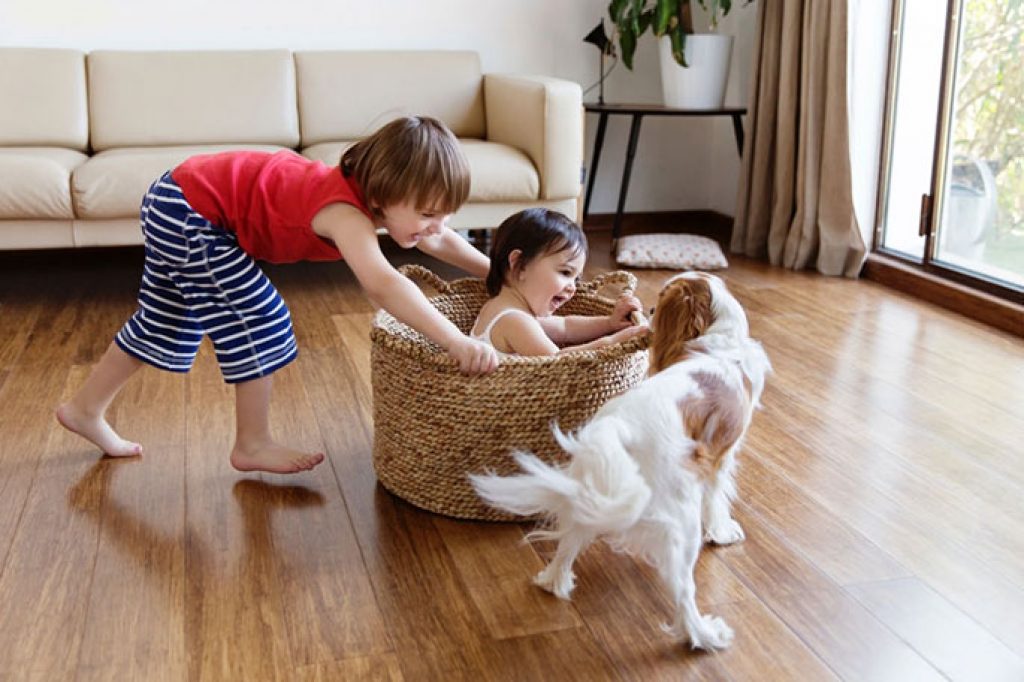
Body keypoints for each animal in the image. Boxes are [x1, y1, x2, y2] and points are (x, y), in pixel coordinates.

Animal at [471, 270, 770, 647]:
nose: (650, 308)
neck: (721, 344)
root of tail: (619, 428)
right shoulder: (720, 458)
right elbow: (718, 499)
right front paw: (723, 532)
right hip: (679, 517)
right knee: (683, 591)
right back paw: (704, 634)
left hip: (598, 490)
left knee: (570, 540)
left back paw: (554, 582)